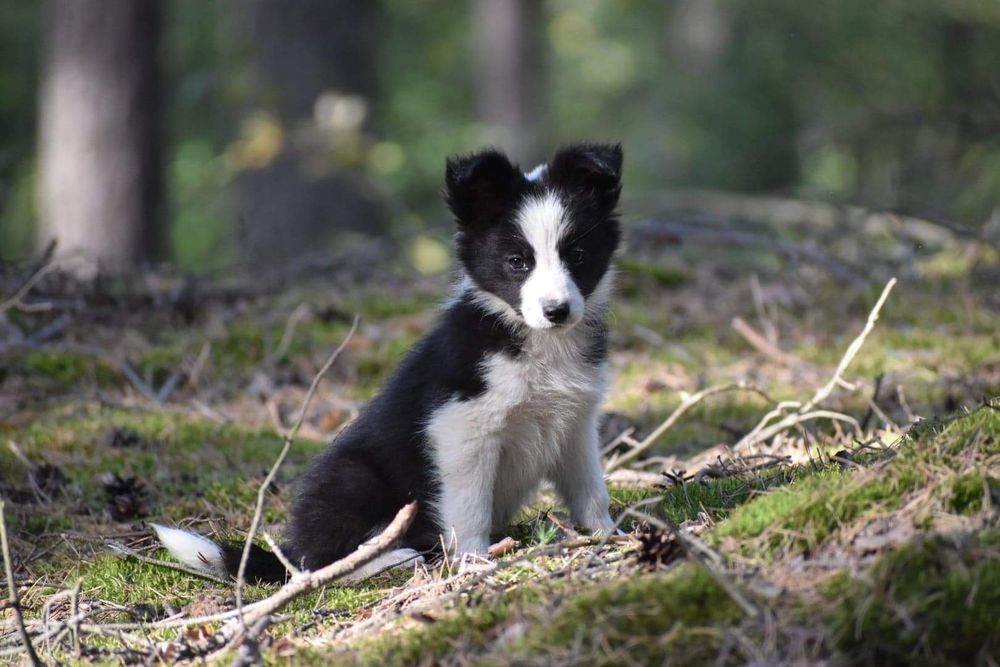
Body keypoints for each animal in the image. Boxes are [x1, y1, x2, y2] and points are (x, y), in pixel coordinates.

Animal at [154, 144, 624, 580]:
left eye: (577, 255)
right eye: (517, 262)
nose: (557, 311)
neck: (540, 344)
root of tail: (289, 545)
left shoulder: (576, 423)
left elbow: (590, 487)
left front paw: (609, 535)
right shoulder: (461, 427)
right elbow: (469, 507)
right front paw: (474, 562)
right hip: (353, 479)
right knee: (317, 565)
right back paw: (393, 558)